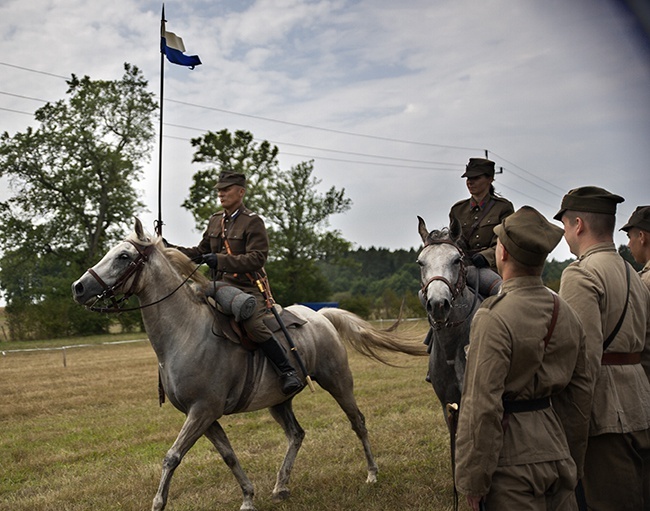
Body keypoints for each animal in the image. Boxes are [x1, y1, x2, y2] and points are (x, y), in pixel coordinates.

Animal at [72, 219, 426, 511]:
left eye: (123, 256)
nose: (79, 287)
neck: (185, 333)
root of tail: (321, 315)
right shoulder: (204, 416)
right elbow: (228, 456)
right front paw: (247, 497)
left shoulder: (202, 411)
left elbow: (172, 456)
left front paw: (158, 503)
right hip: (280, 400)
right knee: (296, 434)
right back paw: (281, 486)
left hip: (338, 382)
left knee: (358, 422)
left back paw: (372, 473)